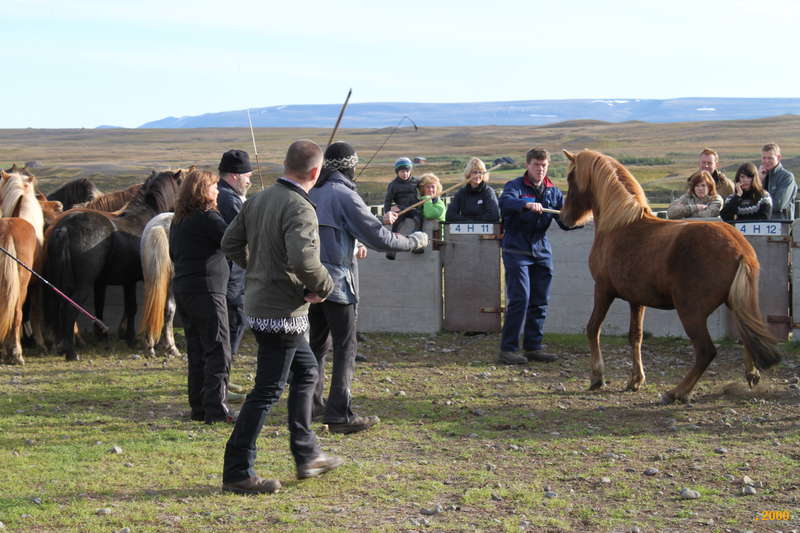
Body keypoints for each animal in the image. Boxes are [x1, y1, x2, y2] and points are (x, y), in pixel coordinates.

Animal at [559, 149, 781, 403]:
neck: (620, 224)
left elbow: (593, 328)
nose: (564, 219)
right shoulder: (636, 300)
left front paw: (597, 377)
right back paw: (751, 375)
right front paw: (635, 380)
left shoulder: (603, 290)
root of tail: (740, 248)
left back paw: (677, 392)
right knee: (746, 336)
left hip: (691, 312)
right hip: (736, 301)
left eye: (570, 178)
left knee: (706, 351)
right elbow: (635, 336)